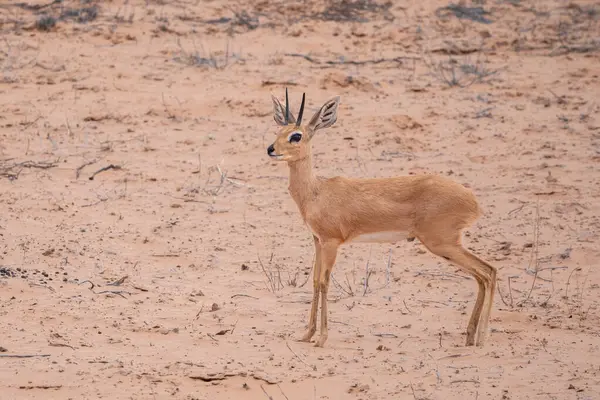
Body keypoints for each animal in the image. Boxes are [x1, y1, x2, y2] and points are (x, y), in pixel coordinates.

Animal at [268, 89, 496, 346]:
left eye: (296, 136)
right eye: (279, 131)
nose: (271, 149)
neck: (316, 192)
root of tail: (473, 201)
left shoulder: (331, 242)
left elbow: (325, 283)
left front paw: (322, 338)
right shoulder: (317, 241)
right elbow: (316, 282)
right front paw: (307, 334)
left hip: (443, 243)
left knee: (488, 272)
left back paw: (482, 338)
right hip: (447, 246)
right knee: (482, 276)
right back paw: (470, 336)